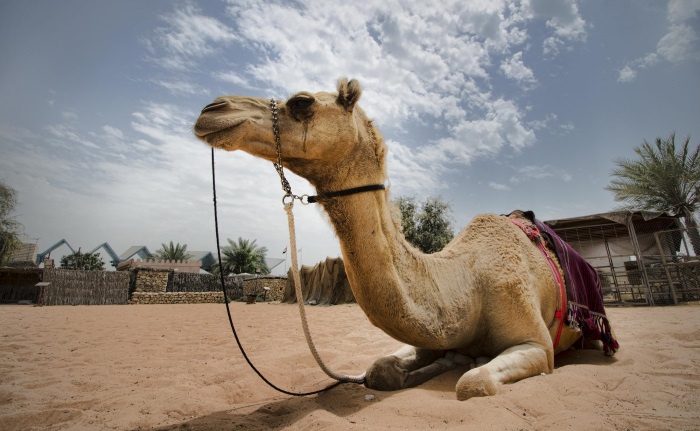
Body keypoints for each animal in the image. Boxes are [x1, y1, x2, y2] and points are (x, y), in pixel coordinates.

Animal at [194, 79, 617, 400]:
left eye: (301, 102)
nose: (212, 108)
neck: (468, 283)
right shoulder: (435, 331)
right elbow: (380, 369)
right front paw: (443, 362)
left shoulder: (537, 345)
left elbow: (474, 384)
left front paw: (468, 365)